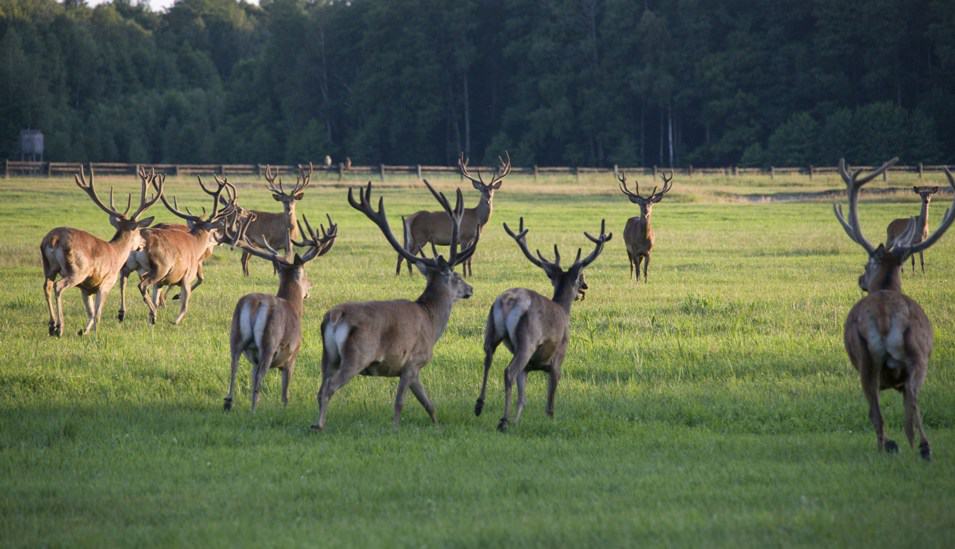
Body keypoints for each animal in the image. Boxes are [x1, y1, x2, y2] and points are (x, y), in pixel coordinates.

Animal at [40, 165, 164, 336]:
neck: (116, 253)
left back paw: (51, 325)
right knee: (58, 286)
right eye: (139, 231)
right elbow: (98, 313)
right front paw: (96, 334)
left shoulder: (86, 288)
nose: (143, 243)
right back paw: (60, 327)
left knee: (47, 286)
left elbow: (90, 312)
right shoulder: (107, 282)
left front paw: (83, 331)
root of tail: (53, 240)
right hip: (77, 270)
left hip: (49, 267)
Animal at [225, 214, 340, 412]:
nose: (310, 287)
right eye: (305, 275)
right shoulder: (292, 354)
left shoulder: (254, 359)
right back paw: (253, 410)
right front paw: (285, 408)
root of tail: (253, 304)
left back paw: (228, 403)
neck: (294, 307)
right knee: (259, 377)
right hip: (269, 342)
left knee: (234, 367)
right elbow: (285, 392)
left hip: (236, 336)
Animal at [312, 180, 478, 428]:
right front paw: (395, 428)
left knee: (321, 386)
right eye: (456, 276)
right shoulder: (412, 361)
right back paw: (319, 425)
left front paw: (436, 424)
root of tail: (334, 317)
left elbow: (429, 403)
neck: (432, 322)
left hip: (328, 356)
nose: (470, 289)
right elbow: (400, 402)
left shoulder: (413, 370)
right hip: (357, 354)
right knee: (328, 388)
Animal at [476, 216, 612, 430]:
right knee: (508, 371)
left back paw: (480, 405)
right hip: (527, 341)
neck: (564, 310)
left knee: (488, 359)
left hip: (491, 330)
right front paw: (550, 420)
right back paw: (502, 420)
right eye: (580, 278)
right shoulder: (559, 355)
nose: (585, 287)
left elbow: (522, 399)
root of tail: (508, 302)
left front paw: (516, 421)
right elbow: (550, 401)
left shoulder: (528, 368)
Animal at [828, 156, 955, 460]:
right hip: (915, 356)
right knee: (911, 403)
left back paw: (890, 446)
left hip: (865, 361)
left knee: (880, 412)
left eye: (866, 265)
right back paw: (919, 447)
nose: (860, 280)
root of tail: (886, 318)